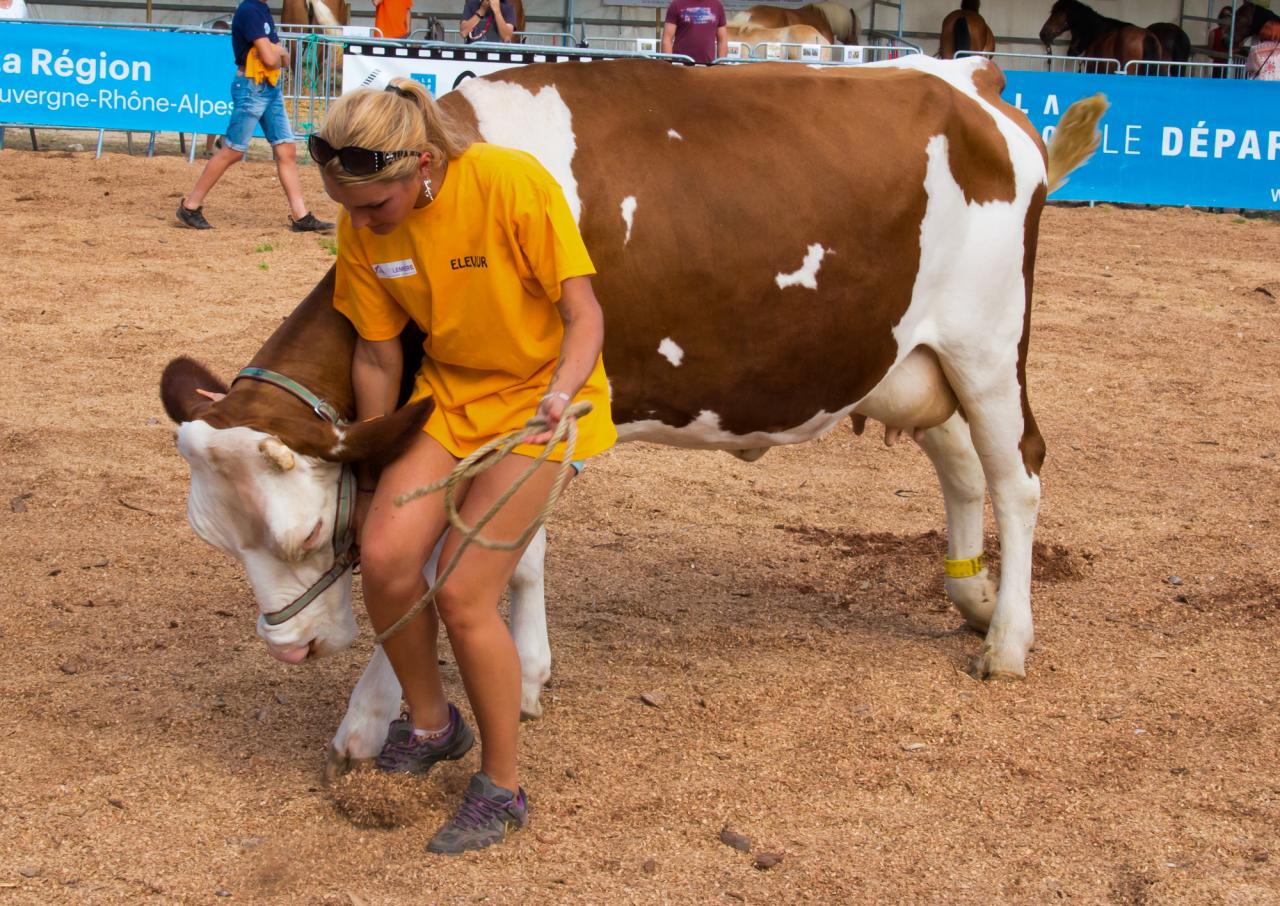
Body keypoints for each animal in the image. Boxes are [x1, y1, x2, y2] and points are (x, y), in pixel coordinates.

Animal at [160, 54, 1100, 772]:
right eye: (216, 540)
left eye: (308, 537)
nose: (292, 649)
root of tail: (970, 77)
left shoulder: (542, 412)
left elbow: (468, 561)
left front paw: (412, 704)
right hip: (911, 360)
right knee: (963, 468)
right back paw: (970, 596)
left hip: (989, 346)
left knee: (1018, 475)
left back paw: (1006, 640)